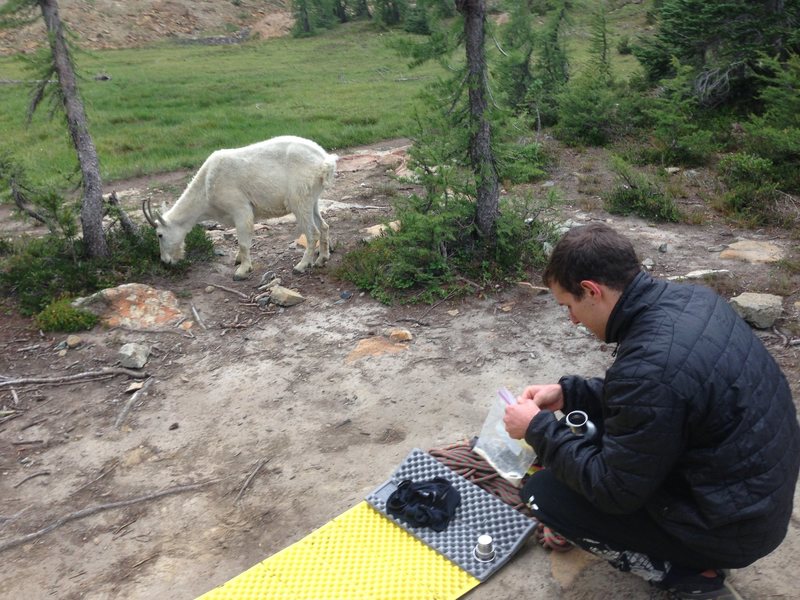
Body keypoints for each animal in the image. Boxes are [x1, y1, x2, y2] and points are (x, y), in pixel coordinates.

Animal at [144, 135, 338, 280]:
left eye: (159, 234)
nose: (165, 261)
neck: (206, 185)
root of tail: (324, 161)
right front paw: (238, 260)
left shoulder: (240, 208)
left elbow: (243, 242)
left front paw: (242, 270)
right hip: (312, 200)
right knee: (324, 226)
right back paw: (322, 259)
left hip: (299, 200)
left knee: (313, 233)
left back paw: (301, 265)